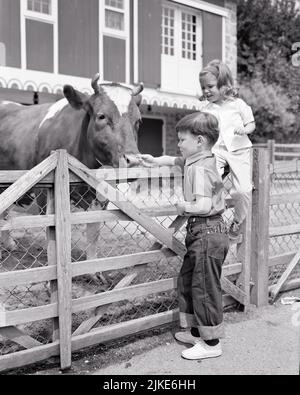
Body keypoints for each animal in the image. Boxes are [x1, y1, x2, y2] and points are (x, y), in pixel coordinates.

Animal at [0, 74, 144, 254]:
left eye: (138, 120)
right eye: (101, 116)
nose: (134, 161)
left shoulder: (100, 201)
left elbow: (93, 237)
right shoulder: (44, 196)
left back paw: (9, 245)